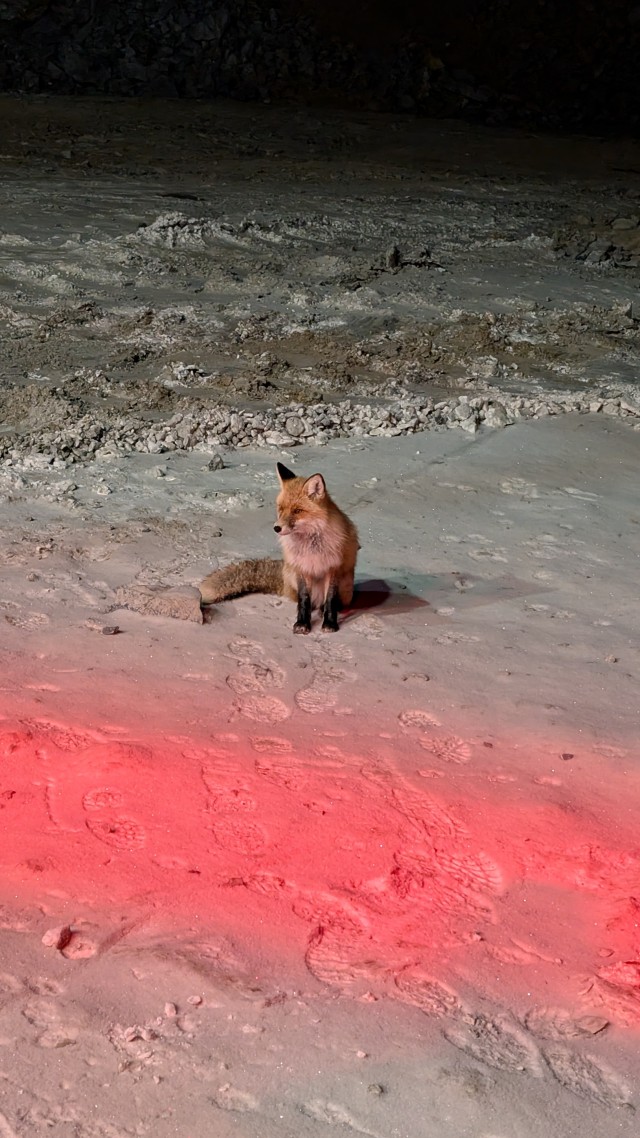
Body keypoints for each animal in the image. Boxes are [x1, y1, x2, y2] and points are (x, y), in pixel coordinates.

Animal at [199, 462, 359, 633]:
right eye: (281, 509)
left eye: (297, 511)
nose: (277, 528)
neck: (311, 545)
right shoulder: (301, 568)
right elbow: (304, 600)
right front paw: (302, 623)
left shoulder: (333, 568)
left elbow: (330, 600)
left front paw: (330, 623)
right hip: (292, 575)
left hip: (346, 585)